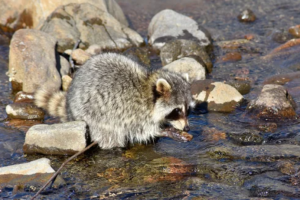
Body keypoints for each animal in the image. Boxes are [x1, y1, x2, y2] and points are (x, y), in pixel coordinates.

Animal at [35, 52, 195, 149]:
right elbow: (142, 131)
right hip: (94, 117)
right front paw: (164, 131)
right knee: (110, 136)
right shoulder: (134, 113)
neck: (148, 91)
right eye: (177, 110)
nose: (187, 128)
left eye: (187, 109)